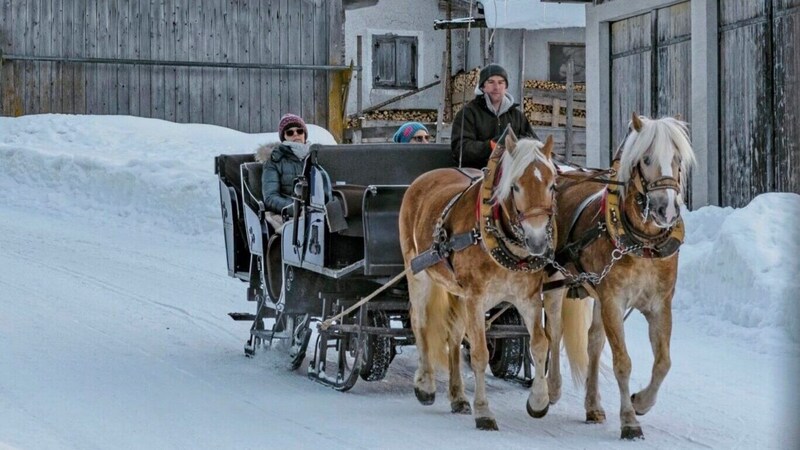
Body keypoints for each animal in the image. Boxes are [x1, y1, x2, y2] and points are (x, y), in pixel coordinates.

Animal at [396, 128, 560, 430]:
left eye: (552, 186)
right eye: (515, 187)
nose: (537, 241)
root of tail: (422, 179)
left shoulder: (528, 297)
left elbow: (540, 343)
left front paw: (538, 401)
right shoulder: (476, 297)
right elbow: (480, 353)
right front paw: (483, 412)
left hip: (458, 292)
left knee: (453, 333)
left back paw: (458, 396)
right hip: (418, 271)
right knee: (419, 322)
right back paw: (425, 385)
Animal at [552, 112, 696, 440]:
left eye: (677, 158)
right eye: (646, 158)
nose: (666, 210)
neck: (642, 243)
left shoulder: (659, 305)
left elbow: (663, 362)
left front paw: (640, 402)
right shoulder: (613, 302)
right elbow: (622, 362)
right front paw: (630, 420)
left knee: (593, 342)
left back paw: (593, 406)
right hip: (553, 279)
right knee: (551, 332)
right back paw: (548, 391)